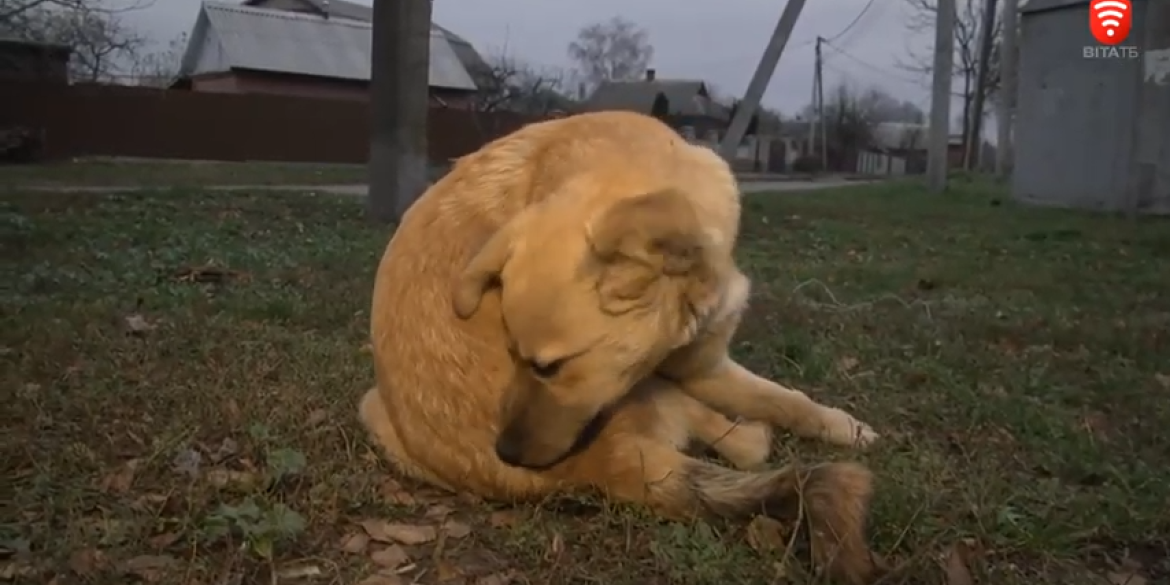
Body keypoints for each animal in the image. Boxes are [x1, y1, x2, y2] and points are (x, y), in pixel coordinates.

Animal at [358, 111, 884, 582]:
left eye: (548, 366)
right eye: (513, 355)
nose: (505, 451)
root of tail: (607, 466)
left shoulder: (704, 363)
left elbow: (790, 399)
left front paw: (844, 427)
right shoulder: (695, 373)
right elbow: (776, 405)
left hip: (373, 408)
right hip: (651, 393)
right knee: (748, 445)